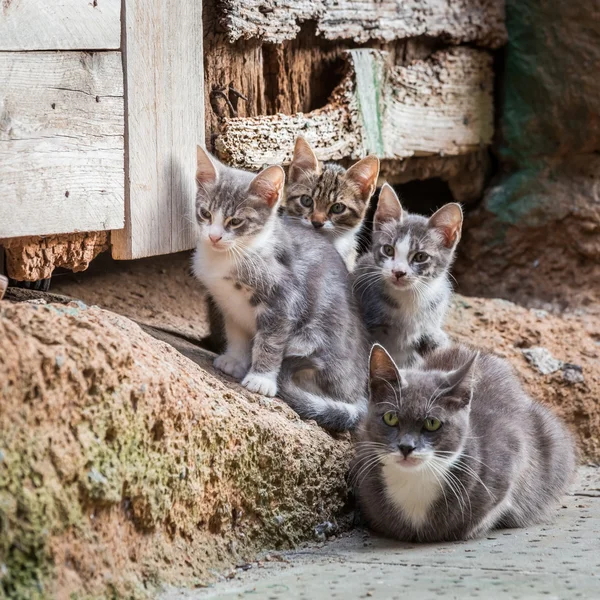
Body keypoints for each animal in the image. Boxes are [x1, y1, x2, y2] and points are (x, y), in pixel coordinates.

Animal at [192, 146, 370, 432]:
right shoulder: (228, 303)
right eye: (206, 213)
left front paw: (261, 379)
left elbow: (271, 341)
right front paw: (235, 360)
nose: (214, 236)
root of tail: (360, 395)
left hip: (310, 341)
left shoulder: (283, 299)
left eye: (236, 222)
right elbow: (236, 333)